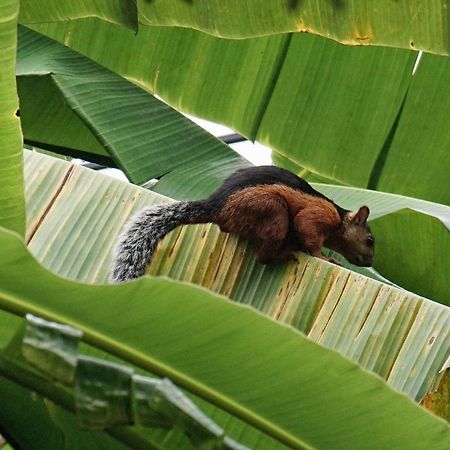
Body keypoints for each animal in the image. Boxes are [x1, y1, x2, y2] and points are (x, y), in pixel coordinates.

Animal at [110, 167, 374, 282]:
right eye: (370, 240)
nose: (371, 262)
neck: (340, 219)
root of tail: (214, 206)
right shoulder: (319, 215)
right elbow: (308, 231)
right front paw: (324, 256)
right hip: (272, 210)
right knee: (264, 256)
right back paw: (284, 254)